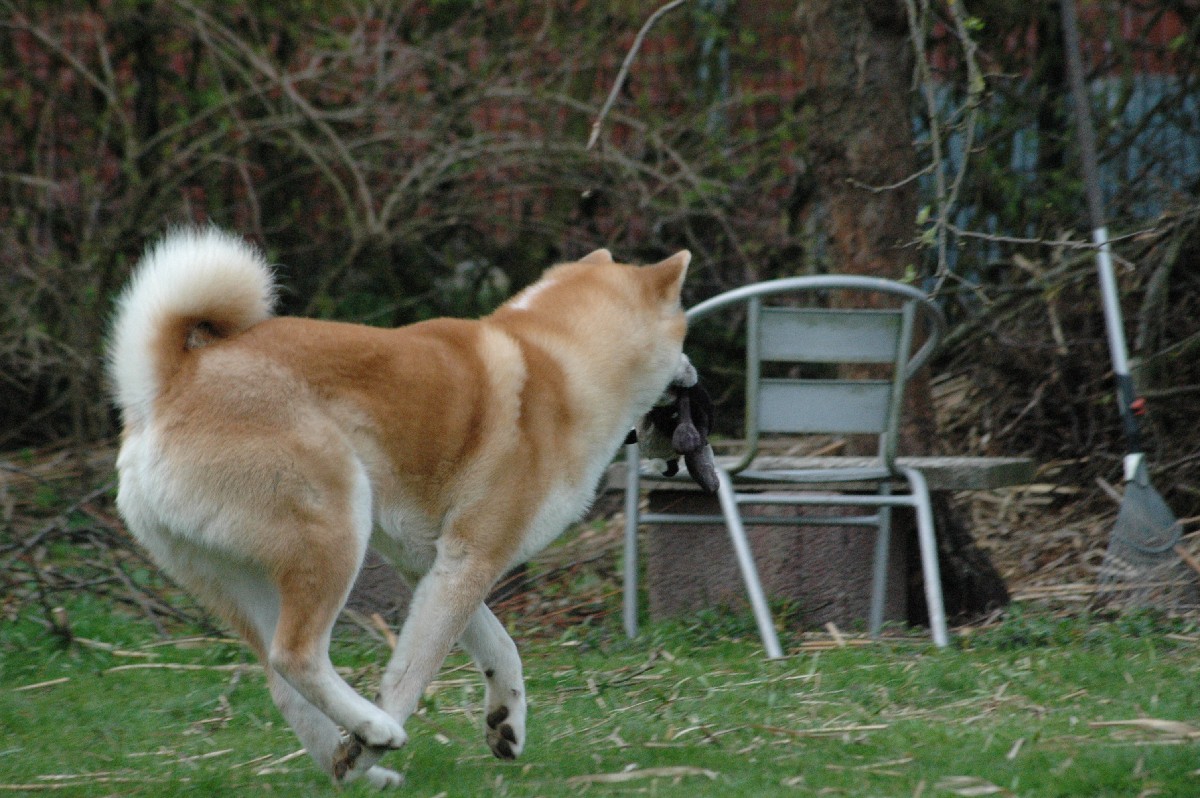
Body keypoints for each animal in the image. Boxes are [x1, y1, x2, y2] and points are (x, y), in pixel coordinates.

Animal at [107, 227, 690, 788]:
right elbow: (412, 676)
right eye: (686, 329)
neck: (558, 359)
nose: (693, 374)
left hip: (242, 582)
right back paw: (373, 731)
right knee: (295, 657)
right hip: (334, 534)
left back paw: (357, 773)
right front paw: (374, 739)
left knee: (280, 682)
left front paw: (505, 721)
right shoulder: (470, 560)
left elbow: (501, 648)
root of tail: (165, 388)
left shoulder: (434, 566)